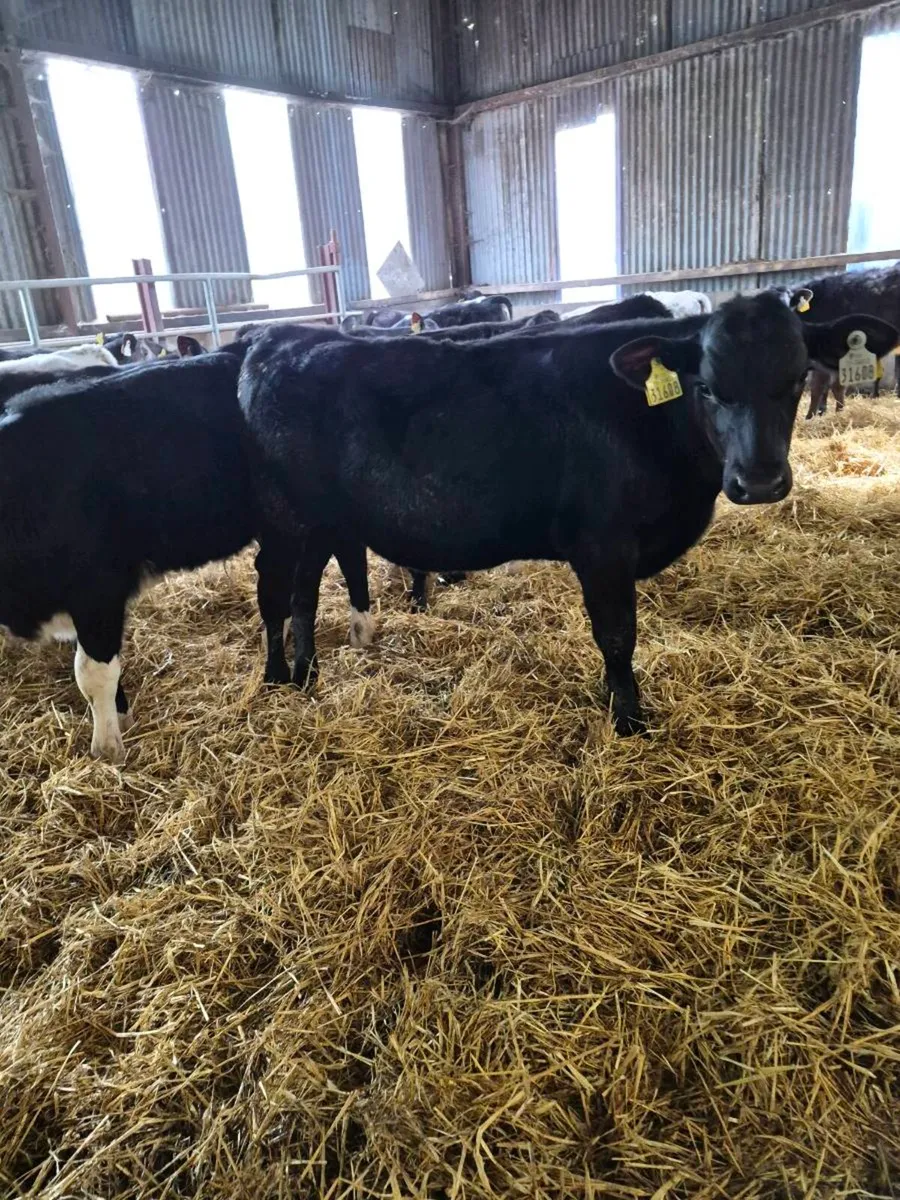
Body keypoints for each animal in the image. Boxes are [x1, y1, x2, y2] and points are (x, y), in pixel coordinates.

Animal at [0, 344, 373, 762]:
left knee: (335, 566)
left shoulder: (97, 590)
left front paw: (108, 750)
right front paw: (121, 716)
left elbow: (93, 673)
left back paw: (350, 637)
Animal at [237, 295, 897, 735]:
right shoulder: (603, 546)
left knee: (301, 595)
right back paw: (287, 676)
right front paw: (629, 720)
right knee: (283, 591)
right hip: (293, 520)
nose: (758, 480)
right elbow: (617, 634)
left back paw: (304, 675)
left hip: (319, 527)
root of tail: (279, 339)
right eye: (707, 386)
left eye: (796, 378)